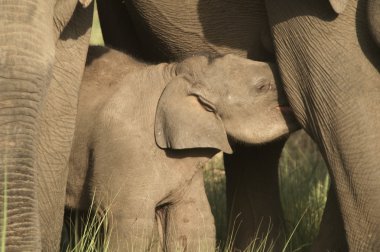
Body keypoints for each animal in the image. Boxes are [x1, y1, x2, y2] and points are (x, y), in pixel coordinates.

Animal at [67, 46, 298, 251]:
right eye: (262, 87)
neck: (175, 75)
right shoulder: (123, 150)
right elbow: (128, 222)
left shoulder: (185, 162)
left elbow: (194, 220)